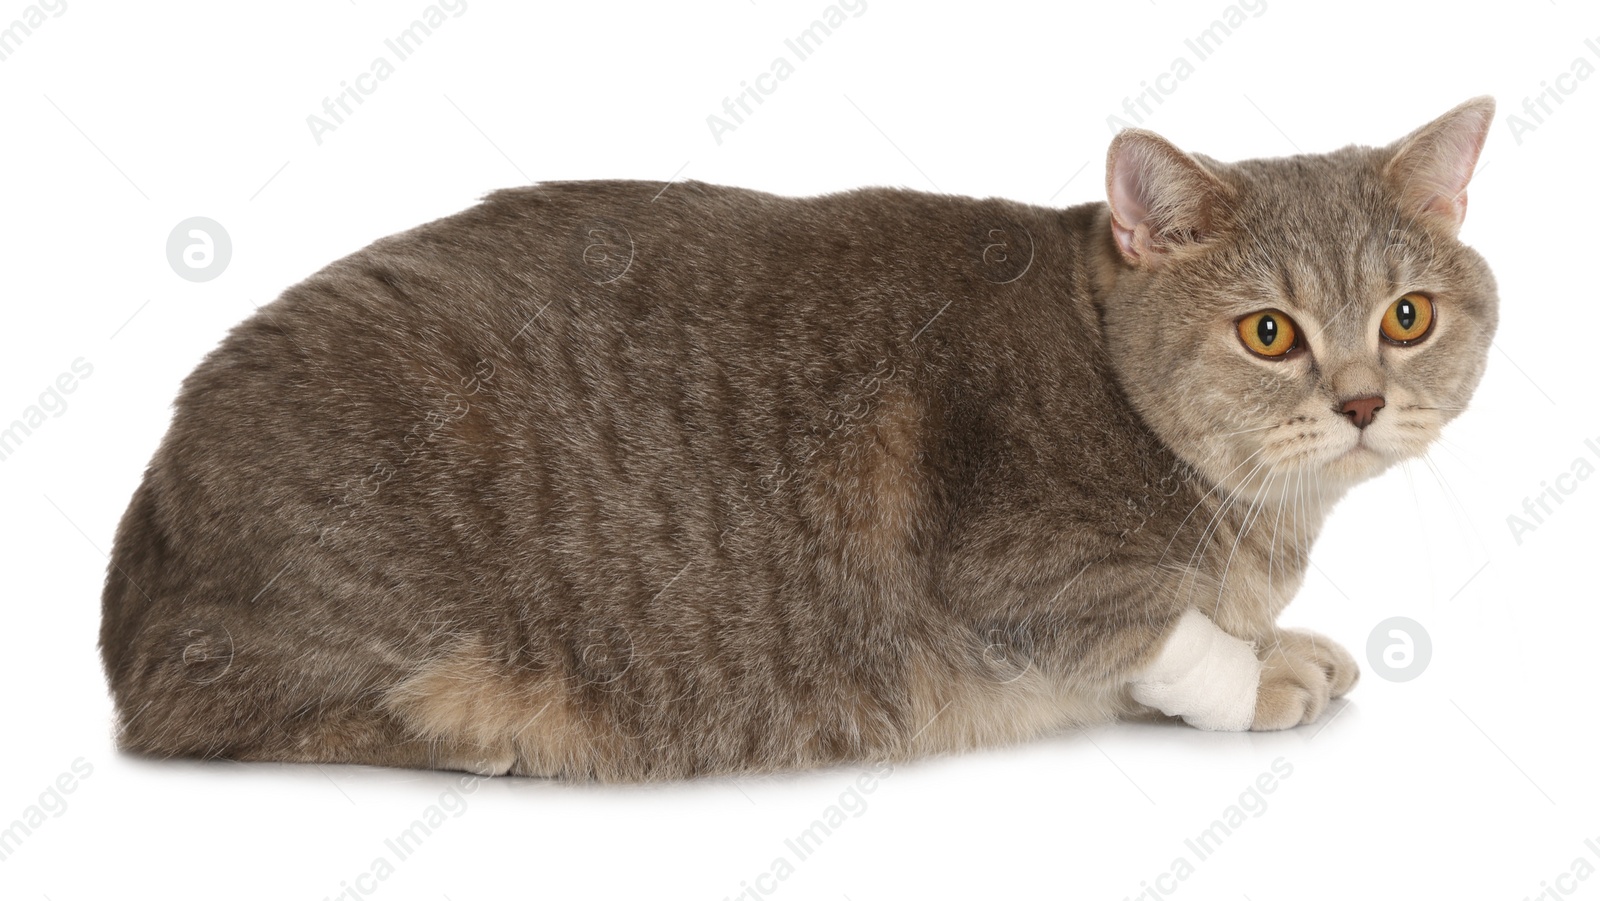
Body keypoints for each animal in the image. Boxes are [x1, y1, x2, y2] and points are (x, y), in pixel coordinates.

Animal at [100, 96, 1497, 784]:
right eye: (1269, 331)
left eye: (1406, 316)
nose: (1362, 401)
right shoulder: (1020, 569)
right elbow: (1163, 629)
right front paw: (1250, 674)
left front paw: (1277, 642)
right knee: (228, 714)